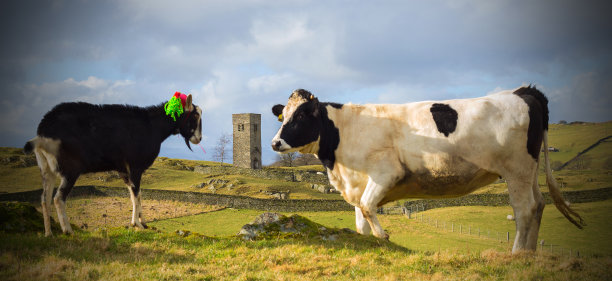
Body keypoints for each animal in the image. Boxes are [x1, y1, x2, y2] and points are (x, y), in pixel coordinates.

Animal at [24, 93, 203, 234]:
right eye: (194, 116)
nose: (199, 139)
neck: (153, 127)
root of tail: (43, 132)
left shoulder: (123, 170)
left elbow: (135, 194)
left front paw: (142, 222)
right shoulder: (135, 166)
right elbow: (136, 194)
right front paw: (137, 224)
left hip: (46, 168)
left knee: (44, 198)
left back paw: (49, 233)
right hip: (70, 168)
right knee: (58, 198)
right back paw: (68, 231)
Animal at [272, 87, 584, 252]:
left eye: (301, 116)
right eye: (283, 115)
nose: (275, 142)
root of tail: (522, 92)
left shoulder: (386, 173)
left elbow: (368, 207)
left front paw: (383, 236)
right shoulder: (357, 183)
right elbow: (361, 217)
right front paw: (372, 242)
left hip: (516, 170)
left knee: (525, 209)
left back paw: (517, 252)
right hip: (528, 171)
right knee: (540, 204)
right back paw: (529, 254)